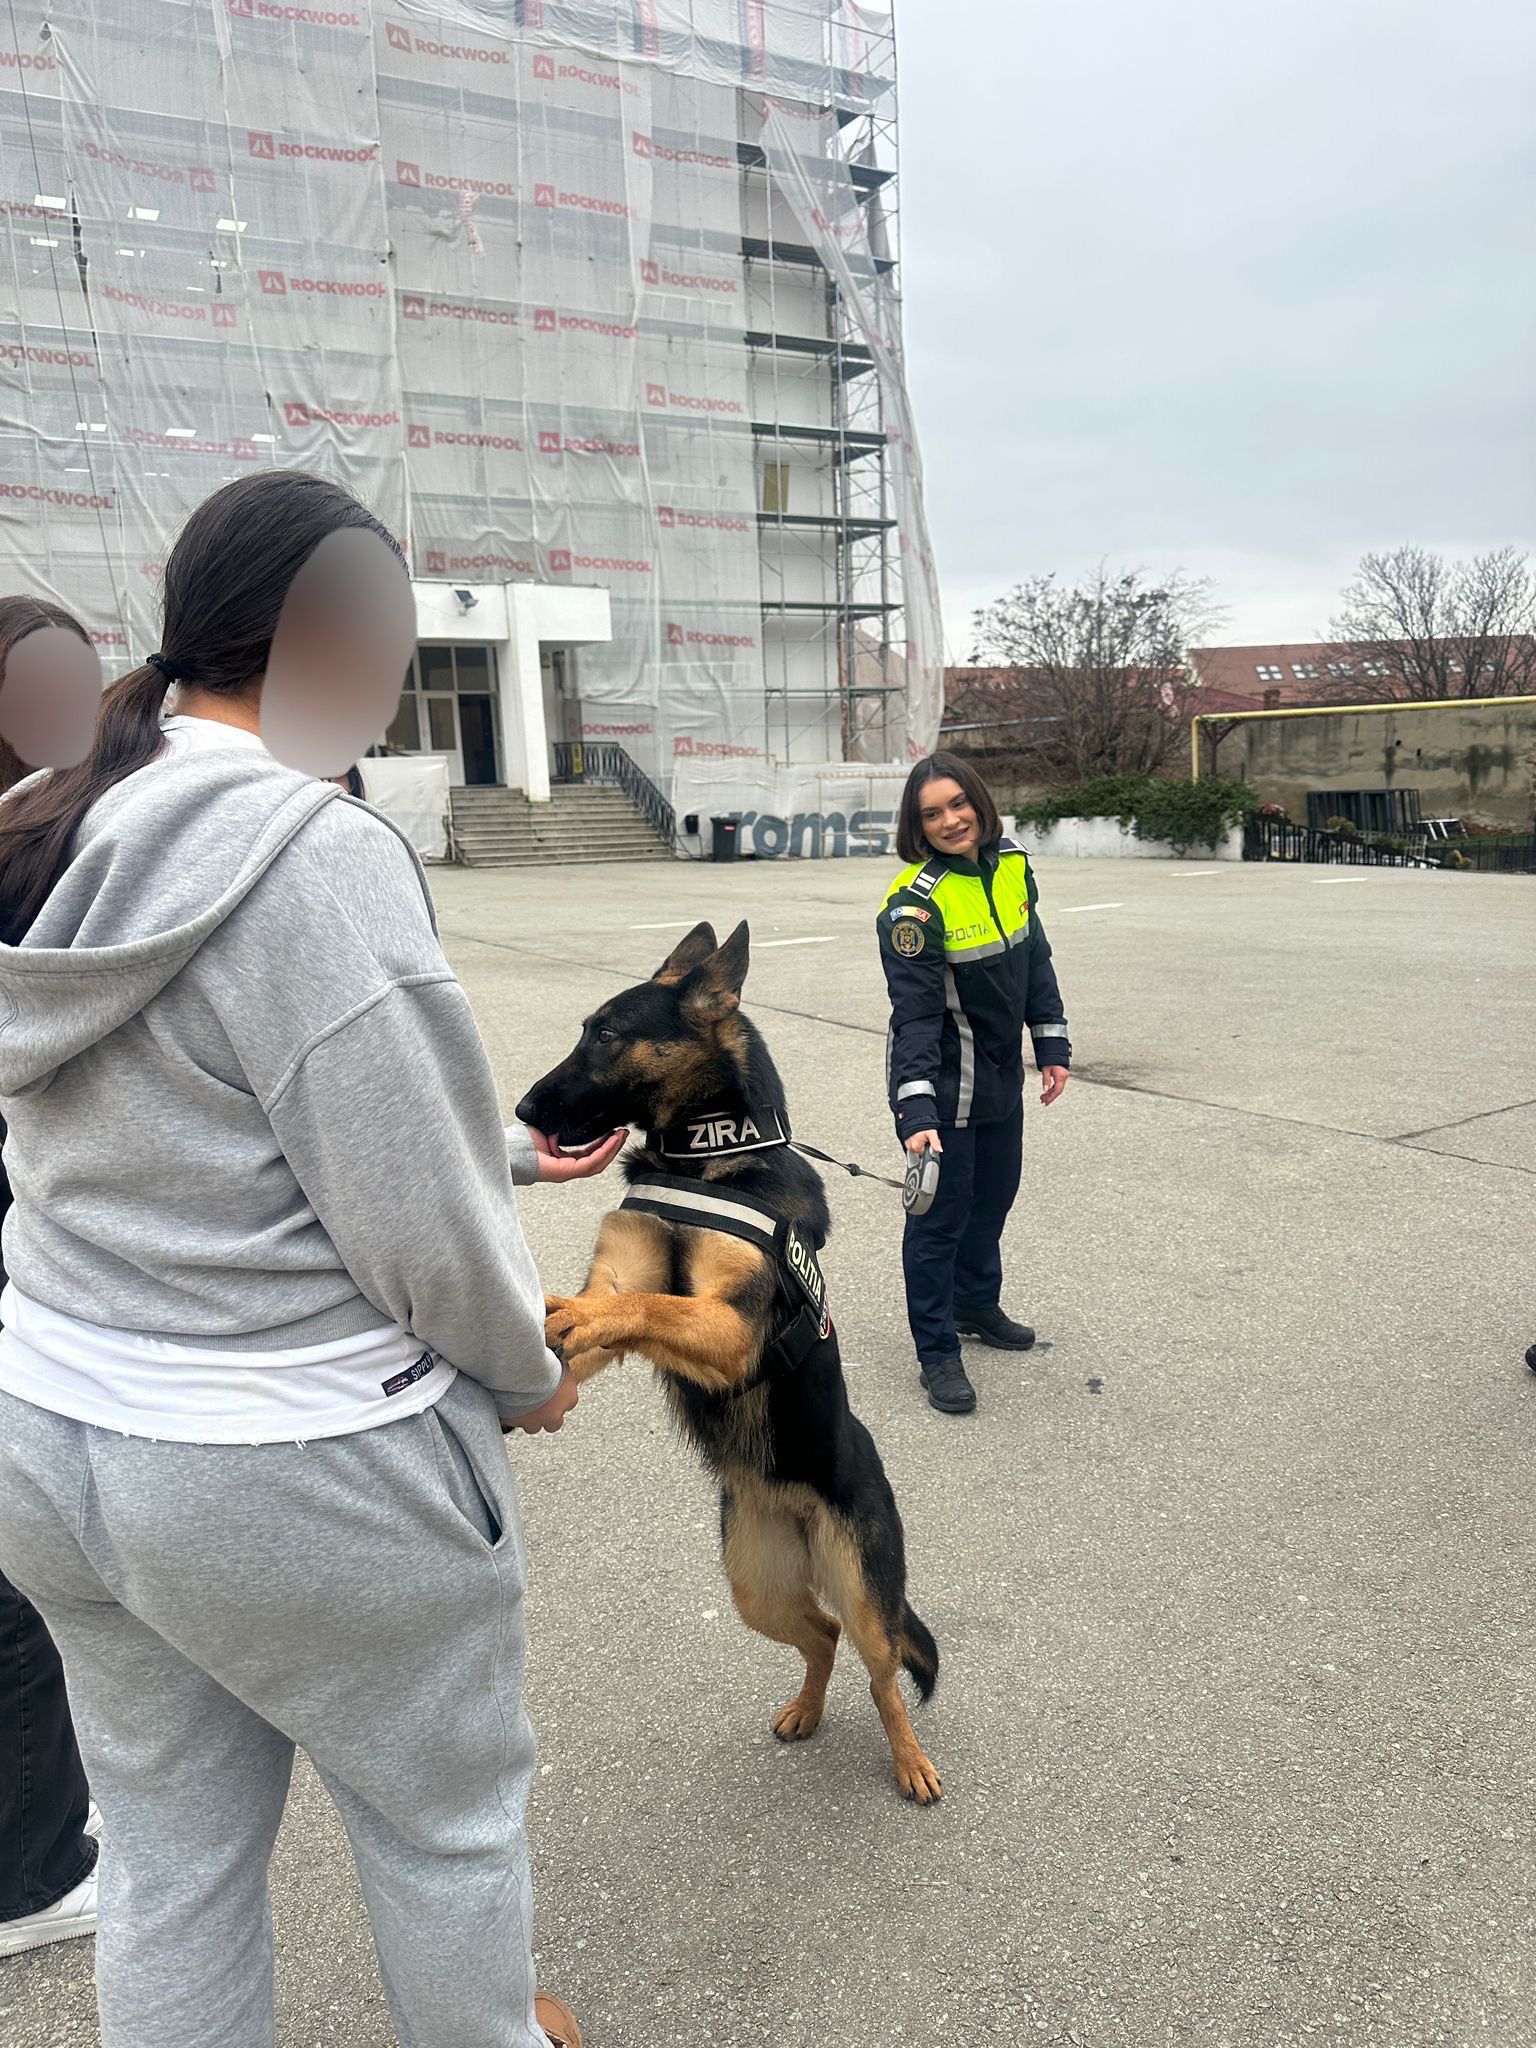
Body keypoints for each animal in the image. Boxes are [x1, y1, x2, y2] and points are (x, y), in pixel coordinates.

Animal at [517, 920, 942, 1803]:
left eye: (606, 1034)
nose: (521, 1110)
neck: (703, 1158)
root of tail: (795, 1508)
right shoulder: (623, 1275)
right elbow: (624, 1304)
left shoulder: (731, 1329)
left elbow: (650, 1307)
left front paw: (565, 1315)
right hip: (755, 1587)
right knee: (820, 1636)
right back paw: (806, 1711)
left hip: (864, 1592)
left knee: (882, 1673)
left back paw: (910, 1760)